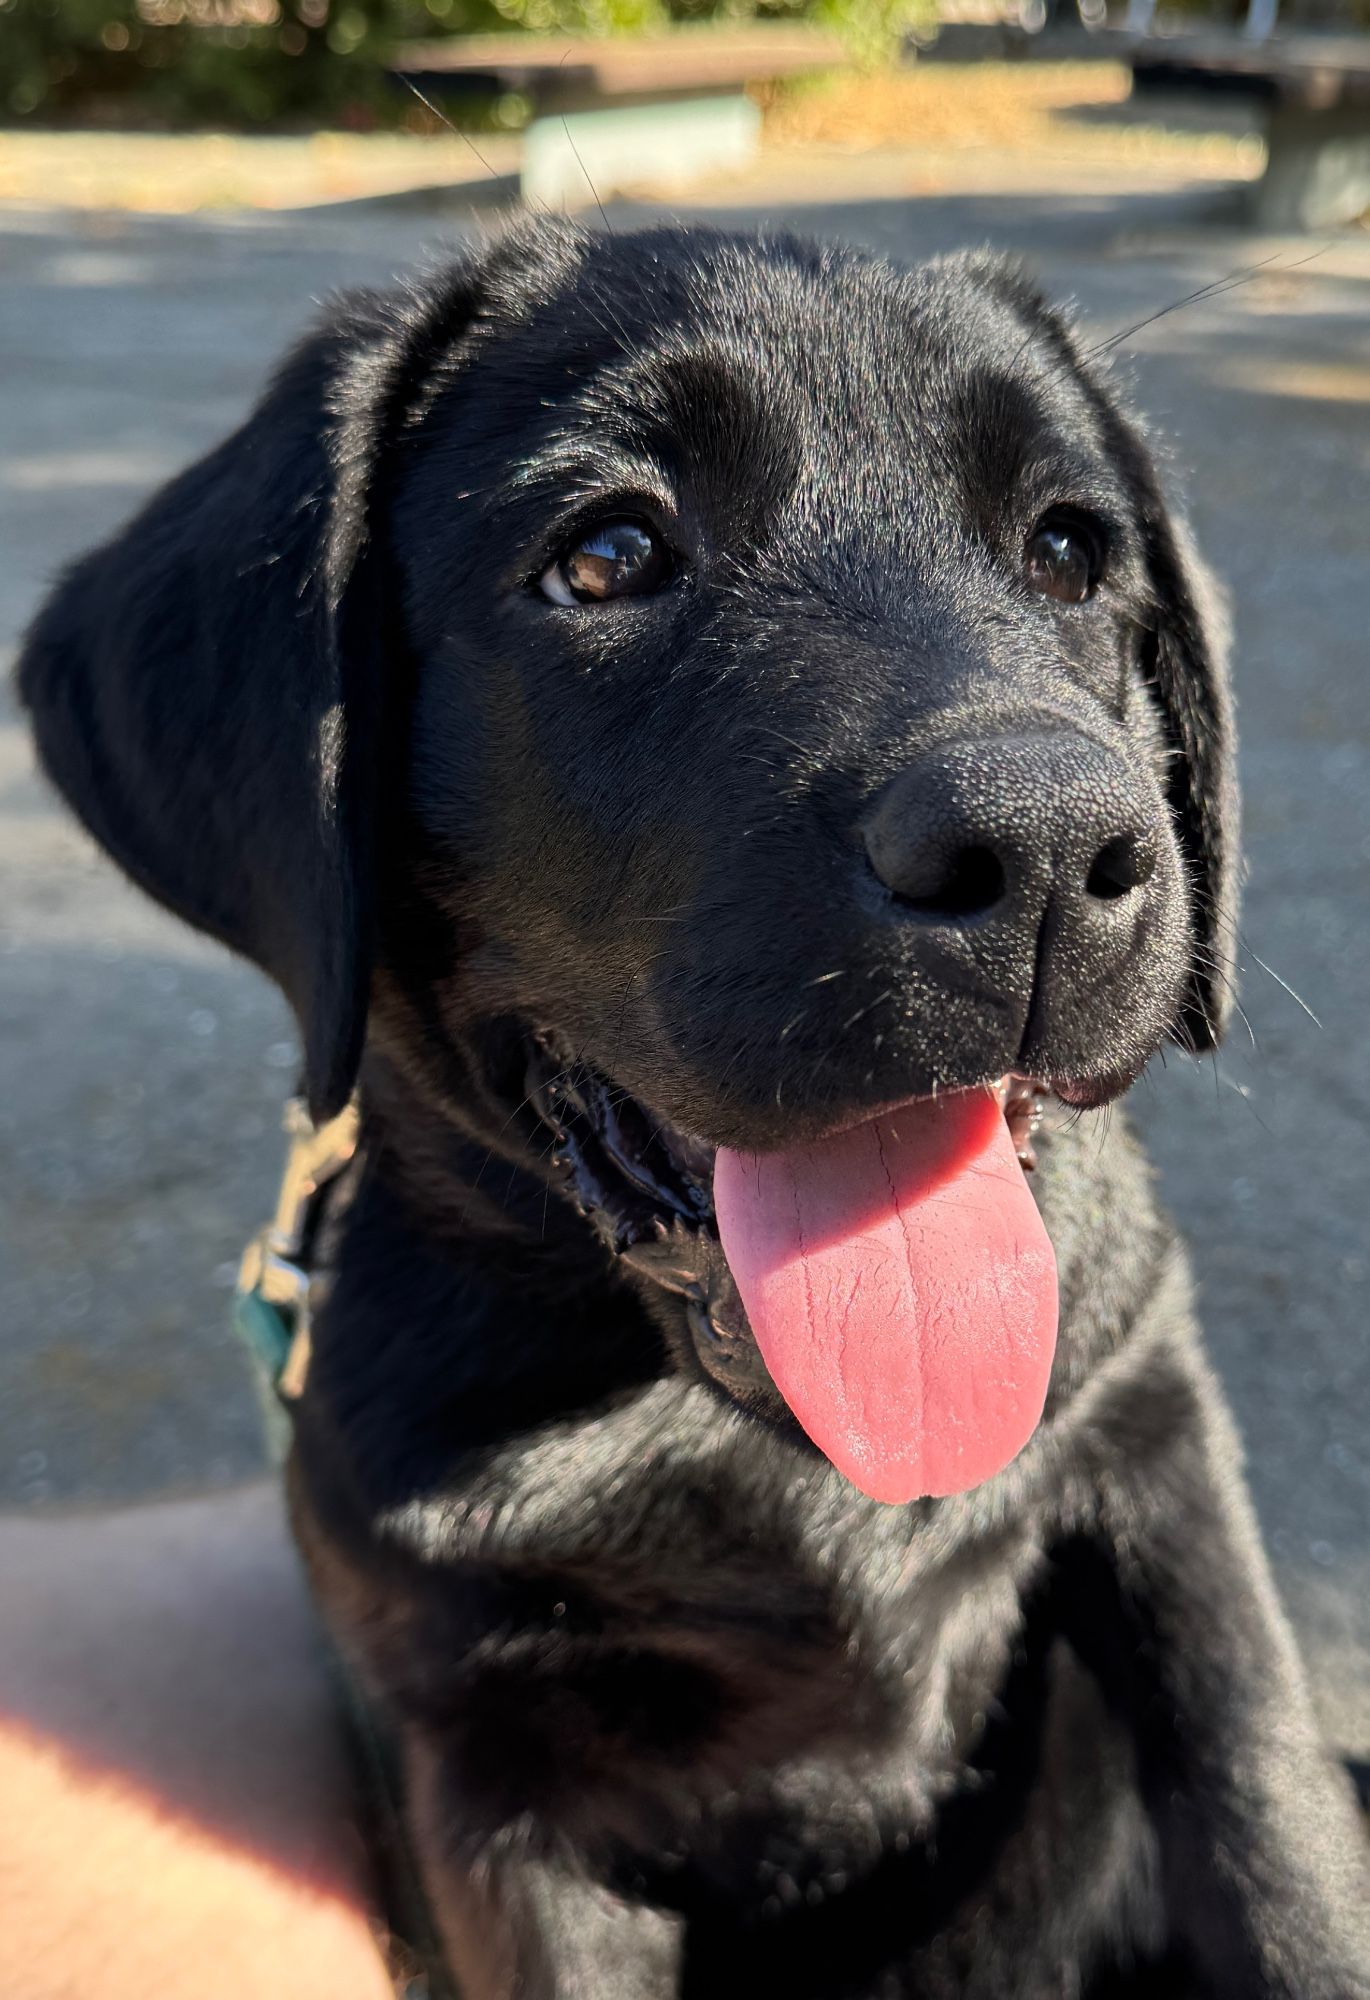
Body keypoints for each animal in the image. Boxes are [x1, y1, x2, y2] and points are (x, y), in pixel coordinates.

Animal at [21, 219, 1368, 1984]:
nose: (1043, 851)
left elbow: (1274, 1835)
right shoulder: (486, 1779)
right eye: (605, 555)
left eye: (1071, 553)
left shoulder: (1157, 1472)